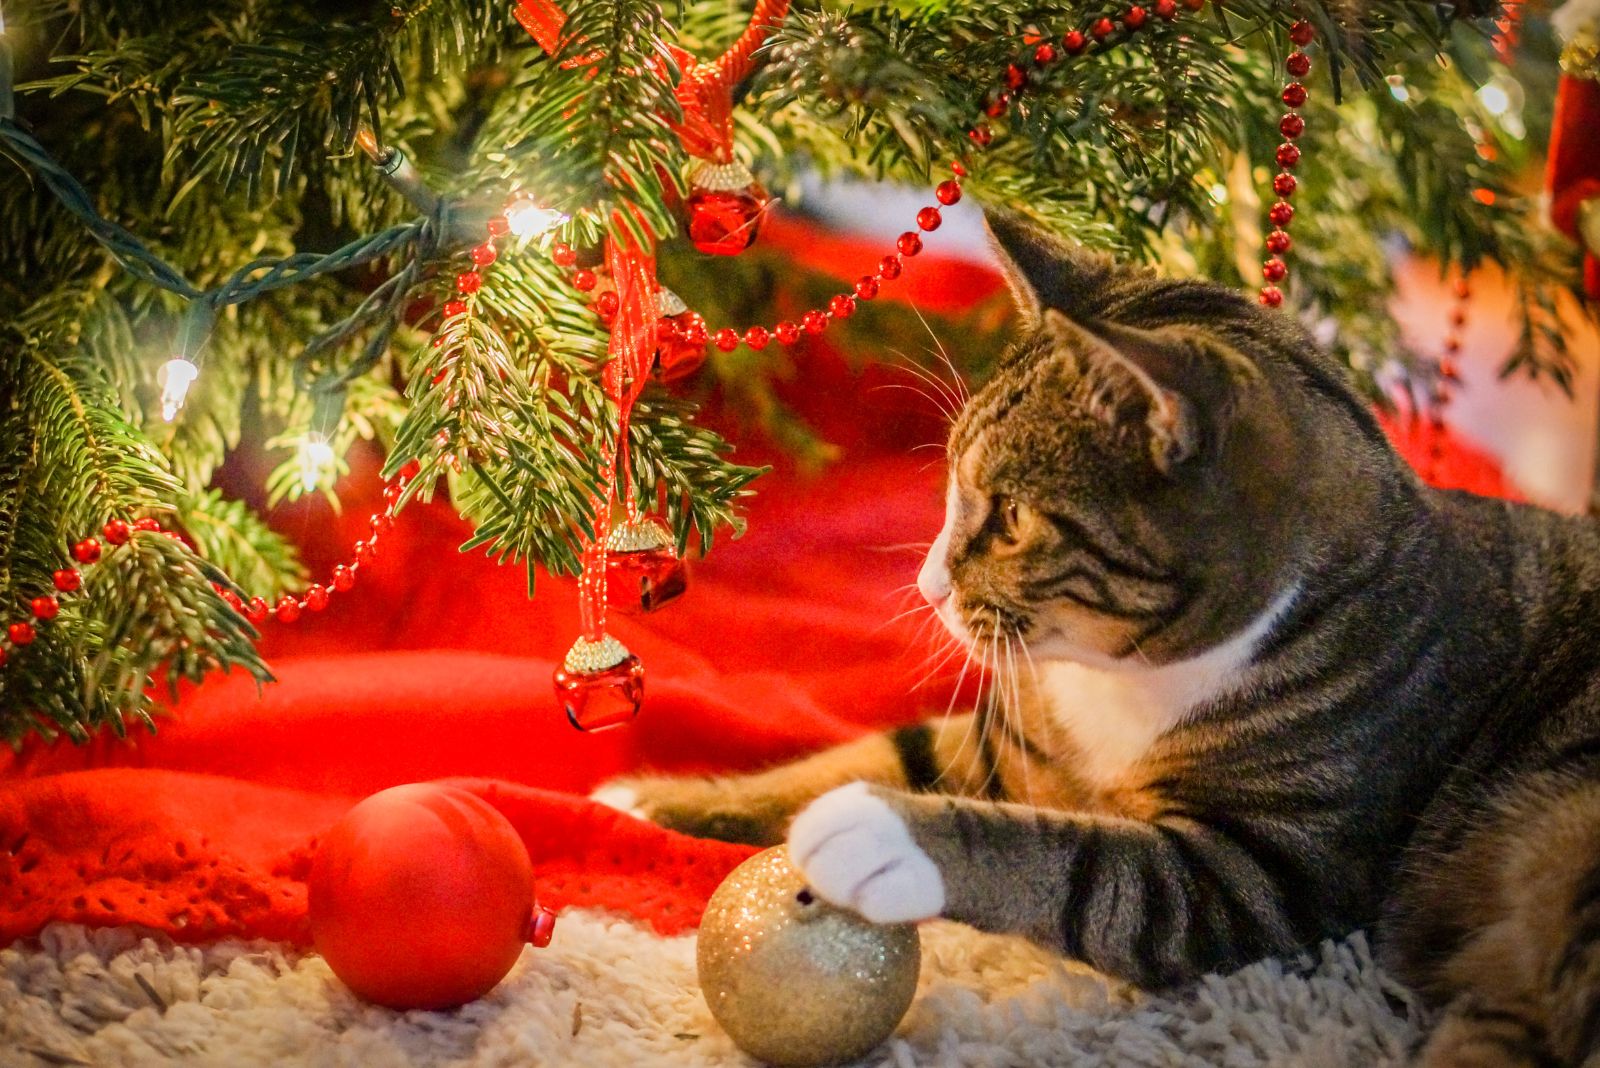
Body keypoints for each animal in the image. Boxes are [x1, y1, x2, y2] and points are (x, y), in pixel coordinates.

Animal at [598, 211, 1600, 1068]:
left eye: (1008, 516)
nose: (927, 586)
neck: (1125, 681)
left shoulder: (1265, 875)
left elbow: (1081, 864)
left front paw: (882, 837)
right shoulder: (1006, 744)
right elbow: (856, 756)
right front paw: (649, 801)